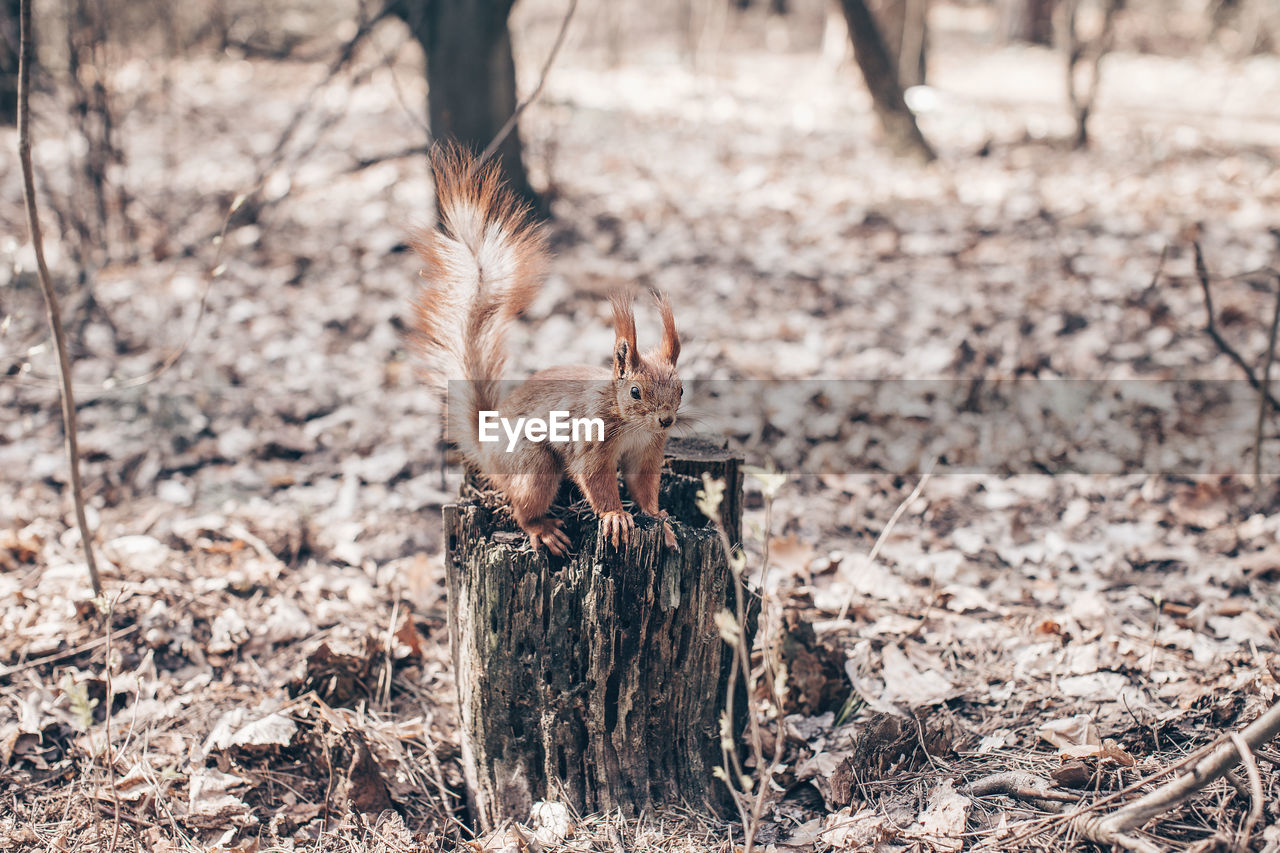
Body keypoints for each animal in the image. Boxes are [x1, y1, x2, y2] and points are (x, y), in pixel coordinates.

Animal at [414, 149, 686, 555]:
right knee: (523, 505)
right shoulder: (591, 440)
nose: (666, 420)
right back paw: (542, 529)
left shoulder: (649, 450)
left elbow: (644, 487)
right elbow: (597, 481)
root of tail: (486, 449)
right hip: (533, 465)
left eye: (682, 389)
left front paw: (659, 519)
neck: (632, 424)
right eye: (635, 391)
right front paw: (615, 516)